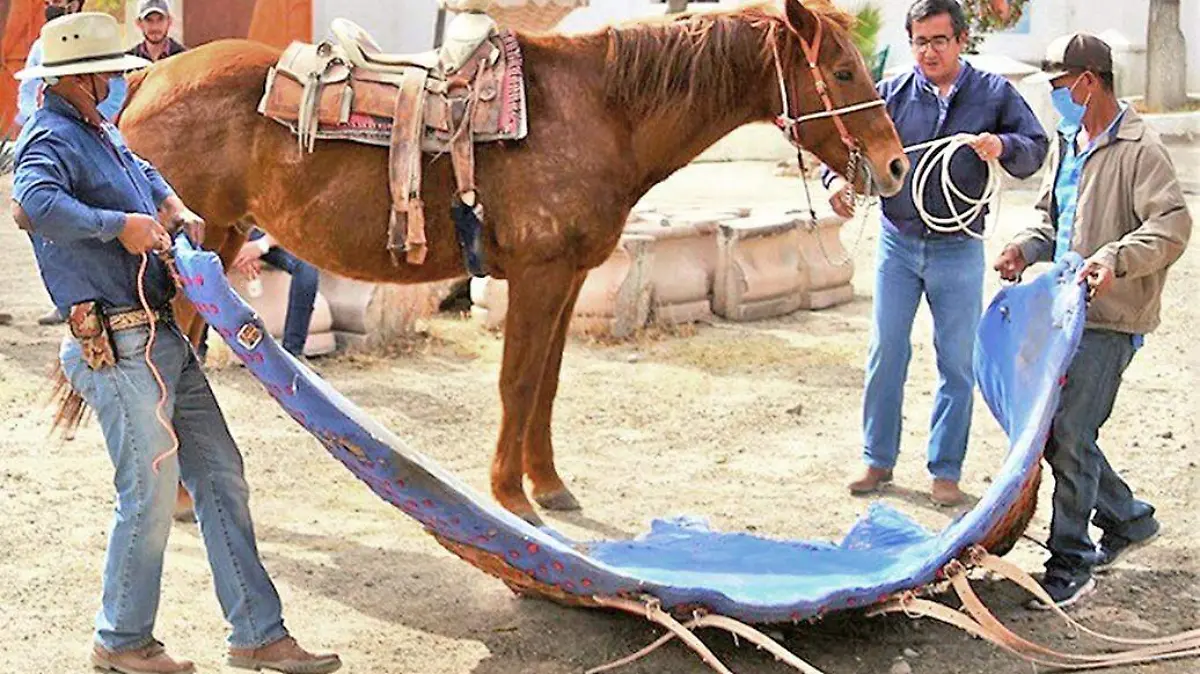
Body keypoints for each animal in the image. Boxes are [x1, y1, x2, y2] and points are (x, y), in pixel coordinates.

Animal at [95, 0, 908, 523]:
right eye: (841, 71)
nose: (896, 166)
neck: (600, 110)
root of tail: (145, 81)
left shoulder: (569, 278)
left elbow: (546, 385)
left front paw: (547, 484)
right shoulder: (540, 275)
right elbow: (517, 382)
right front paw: (512, 497)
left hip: (220, 241)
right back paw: (180, 501)